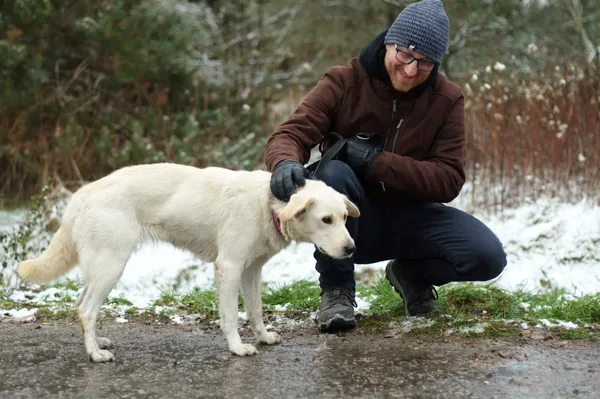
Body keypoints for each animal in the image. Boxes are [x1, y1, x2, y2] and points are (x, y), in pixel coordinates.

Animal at [16, 162, 358, 362]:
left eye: (344, 218)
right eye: (326, 220)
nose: (351, 248)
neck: (268, 204)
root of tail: (81, 195)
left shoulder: (251, 270)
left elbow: (255, 311)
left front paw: (262, 337)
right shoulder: (229, 267)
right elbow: (230, 317)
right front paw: (237, 348)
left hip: (100, 268)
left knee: (82, 306)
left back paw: (98, 341)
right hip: (111, 265)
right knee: (87, 310)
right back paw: (95, 353)